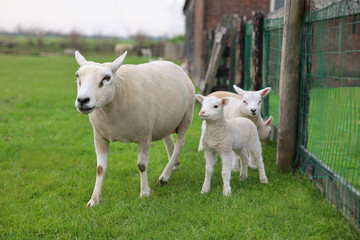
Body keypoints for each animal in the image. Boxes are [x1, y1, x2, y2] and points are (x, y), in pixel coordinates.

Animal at [74, 50, 195, 206]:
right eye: (77, 76)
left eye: (107, 77)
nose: (82, 100)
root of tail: (175, 66)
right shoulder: (99, 136)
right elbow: (100, 169)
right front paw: (94, 200)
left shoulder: (145, 136)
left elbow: (141, 165)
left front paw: (144, 193)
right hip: (164, 121)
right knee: (169, 141)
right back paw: (173, 166)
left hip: (186, 117)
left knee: (180, 143)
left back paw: (164, 176)